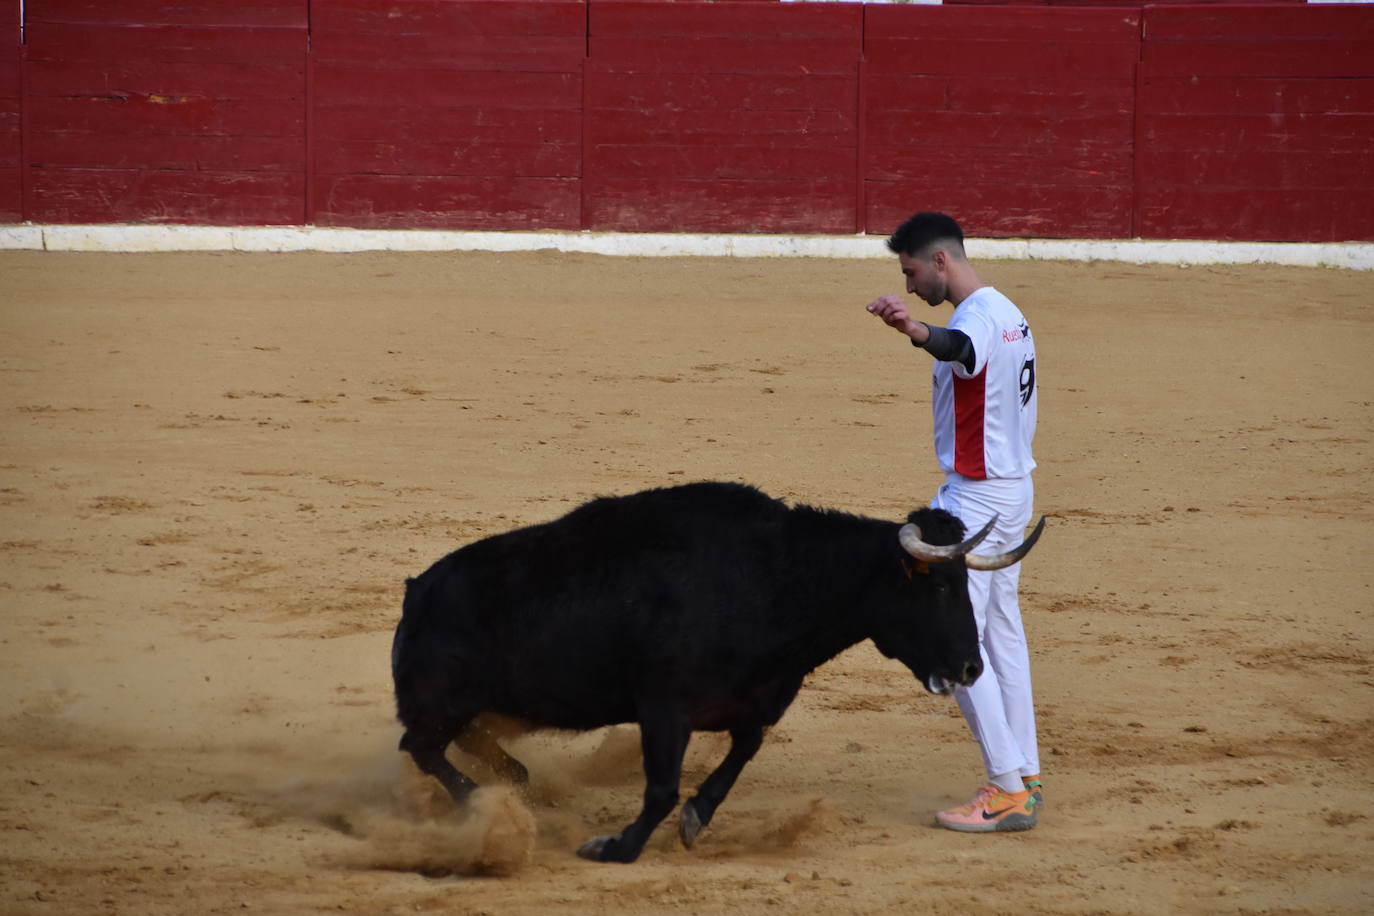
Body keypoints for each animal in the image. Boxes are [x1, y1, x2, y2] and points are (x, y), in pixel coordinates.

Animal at [392, 483, 1044, 862]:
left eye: (963, 584)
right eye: (937, 586)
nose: (970, 666)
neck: (776, 579)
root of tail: (417, 591)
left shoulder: (753, 704)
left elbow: (736, 759)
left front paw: (695, 818)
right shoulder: (663, 708)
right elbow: (659, 788)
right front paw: (616, 847)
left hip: (477, 705)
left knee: (462, 745)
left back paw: (514, 782)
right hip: (439, 703)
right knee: (421, 748)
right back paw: (483, 804)